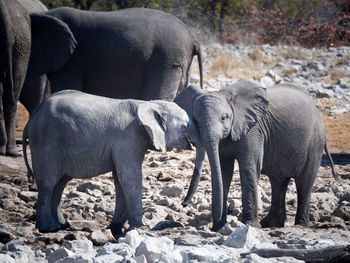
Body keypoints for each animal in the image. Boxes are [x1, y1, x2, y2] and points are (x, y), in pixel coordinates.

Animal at [21, 89, 197, 238]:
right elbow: (129, 177)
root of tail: (31, 120)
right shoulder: (128, 137)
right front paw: (139, 229)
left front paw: (116, 230)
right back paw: (49, 229)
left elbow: (120, 178)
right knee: (48, 182)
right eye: (184, 126)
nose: (183, 204)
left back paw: (62, 225)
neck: (147, 103)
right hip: (46, 142)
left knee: (60, 182)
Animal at [175, 81, 340, 232]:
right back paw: (272, 224)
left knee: (304, 182)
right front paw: (219, 227)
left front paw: (250, 225)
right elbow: (223, 171)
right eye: (196, 121)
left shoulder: (253, 129)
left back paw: (299, 226)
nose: (183, 204)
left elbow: (249, 167)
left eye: (224, 118)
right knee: (278, 182)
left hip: (315, 142)